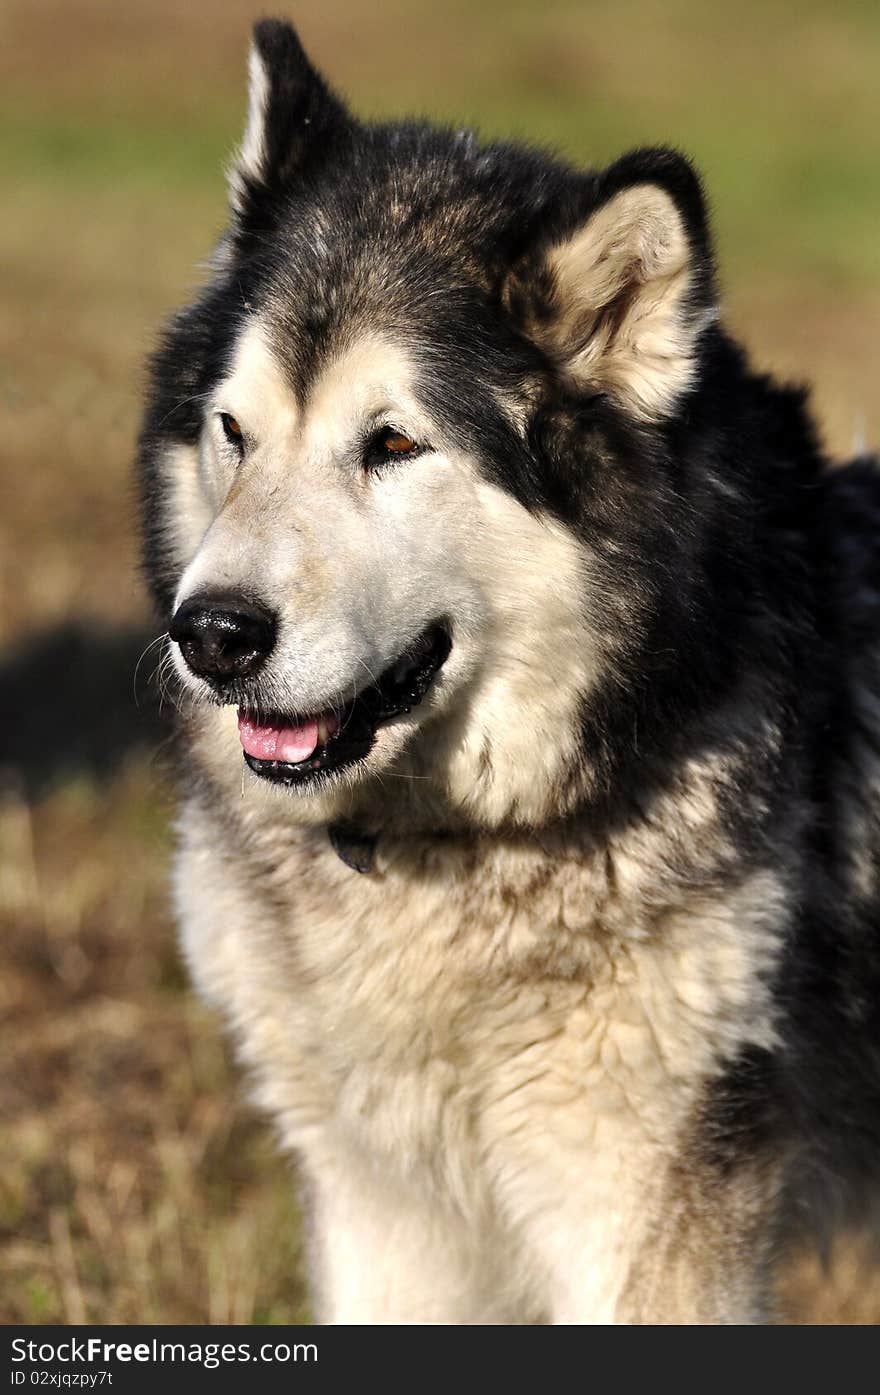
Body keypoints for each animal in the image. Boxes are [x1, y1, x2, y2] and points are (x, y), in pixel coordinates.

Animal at [138, 21, 880, 1322]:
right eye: (235, 431)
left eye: (393, 443)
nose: (211, 634)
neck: (450, 854)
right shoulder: (384, 1214)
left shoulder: (645, 1224)